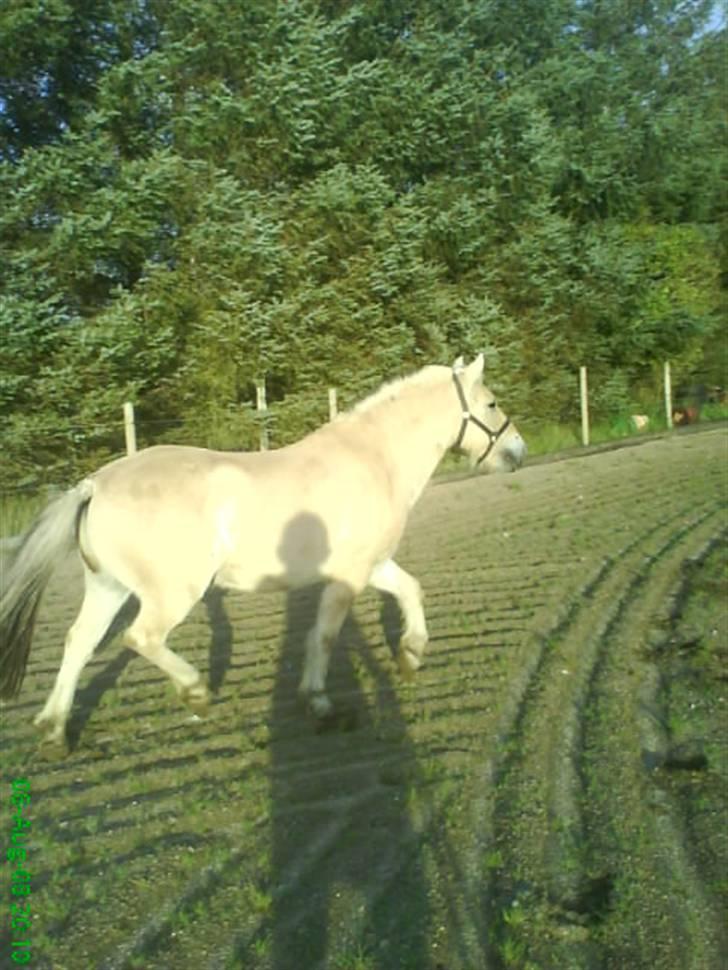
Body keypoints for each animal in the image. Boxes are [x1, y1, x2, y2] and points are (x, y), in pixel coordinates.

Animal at [0, 356, 524, 748]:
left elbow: (411, 590)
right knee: (139, 638)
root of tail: (94, 484)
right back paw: (195, 693)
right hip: (172, 592)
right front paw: (319, 703)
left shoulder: (369, 565)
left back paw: (55, 731)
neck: (374, 460)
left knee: (79, 642)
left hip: (107, 587)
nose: (517, 451)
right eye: (492, 402)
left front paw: (411, 656)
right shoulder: (350, 575)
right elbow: (324, 636)